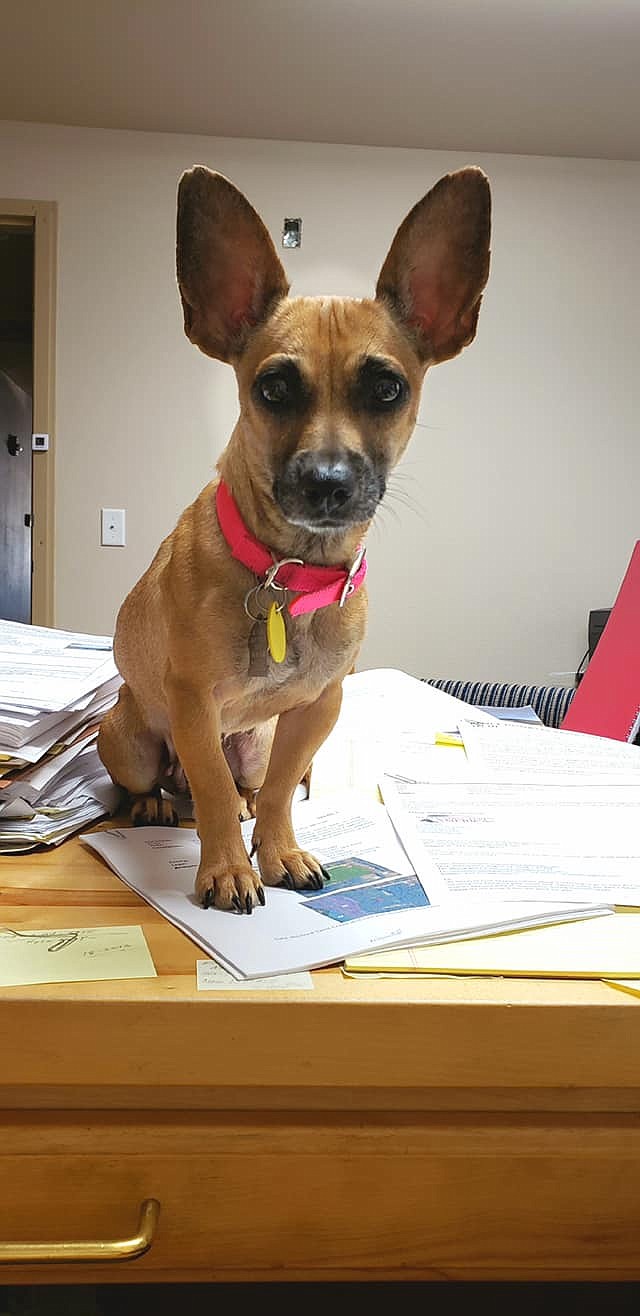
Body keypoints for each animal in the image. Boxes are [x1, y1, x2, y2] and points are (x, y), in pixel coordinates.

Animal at [98, 161, 489, 915]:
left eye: (388, 389)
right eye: (273, 388)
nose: (327, 482)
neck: (289, 572)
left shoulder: (316, 710)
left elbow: (282, 788)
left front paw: (277, 851)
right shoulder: (194, 707)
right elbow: (211, 789)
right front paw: (227, 869)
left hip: (256, 741)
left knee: (246, 785)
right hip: (128, 739)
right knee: (165, 785)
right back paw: (155, 804)